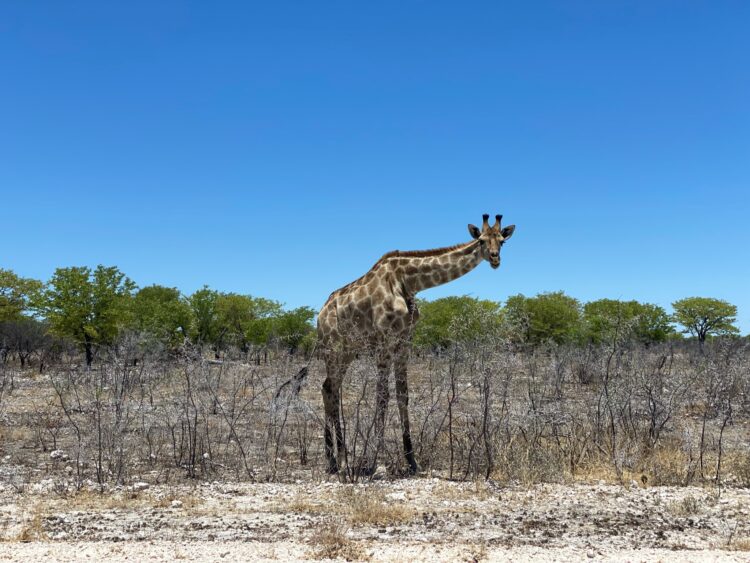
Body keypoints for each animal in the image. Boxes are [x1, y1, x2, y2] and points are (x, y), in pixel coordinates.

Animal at [284, 214, 516, 474]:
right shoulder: (385, 342)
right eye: (482, 241)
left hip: (347, 352)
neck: (409, 281)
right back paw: (340, 459)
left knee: (328, 388)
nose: (495, 258)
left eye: (502, 241)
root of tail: (319, 317)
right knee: (331, 389)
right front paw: (373, 459)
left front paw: (412, 460)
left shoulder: (404, 342)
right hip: (333, 349)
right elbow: (382, 396)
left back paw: (334, 461)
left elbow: (402, 395)